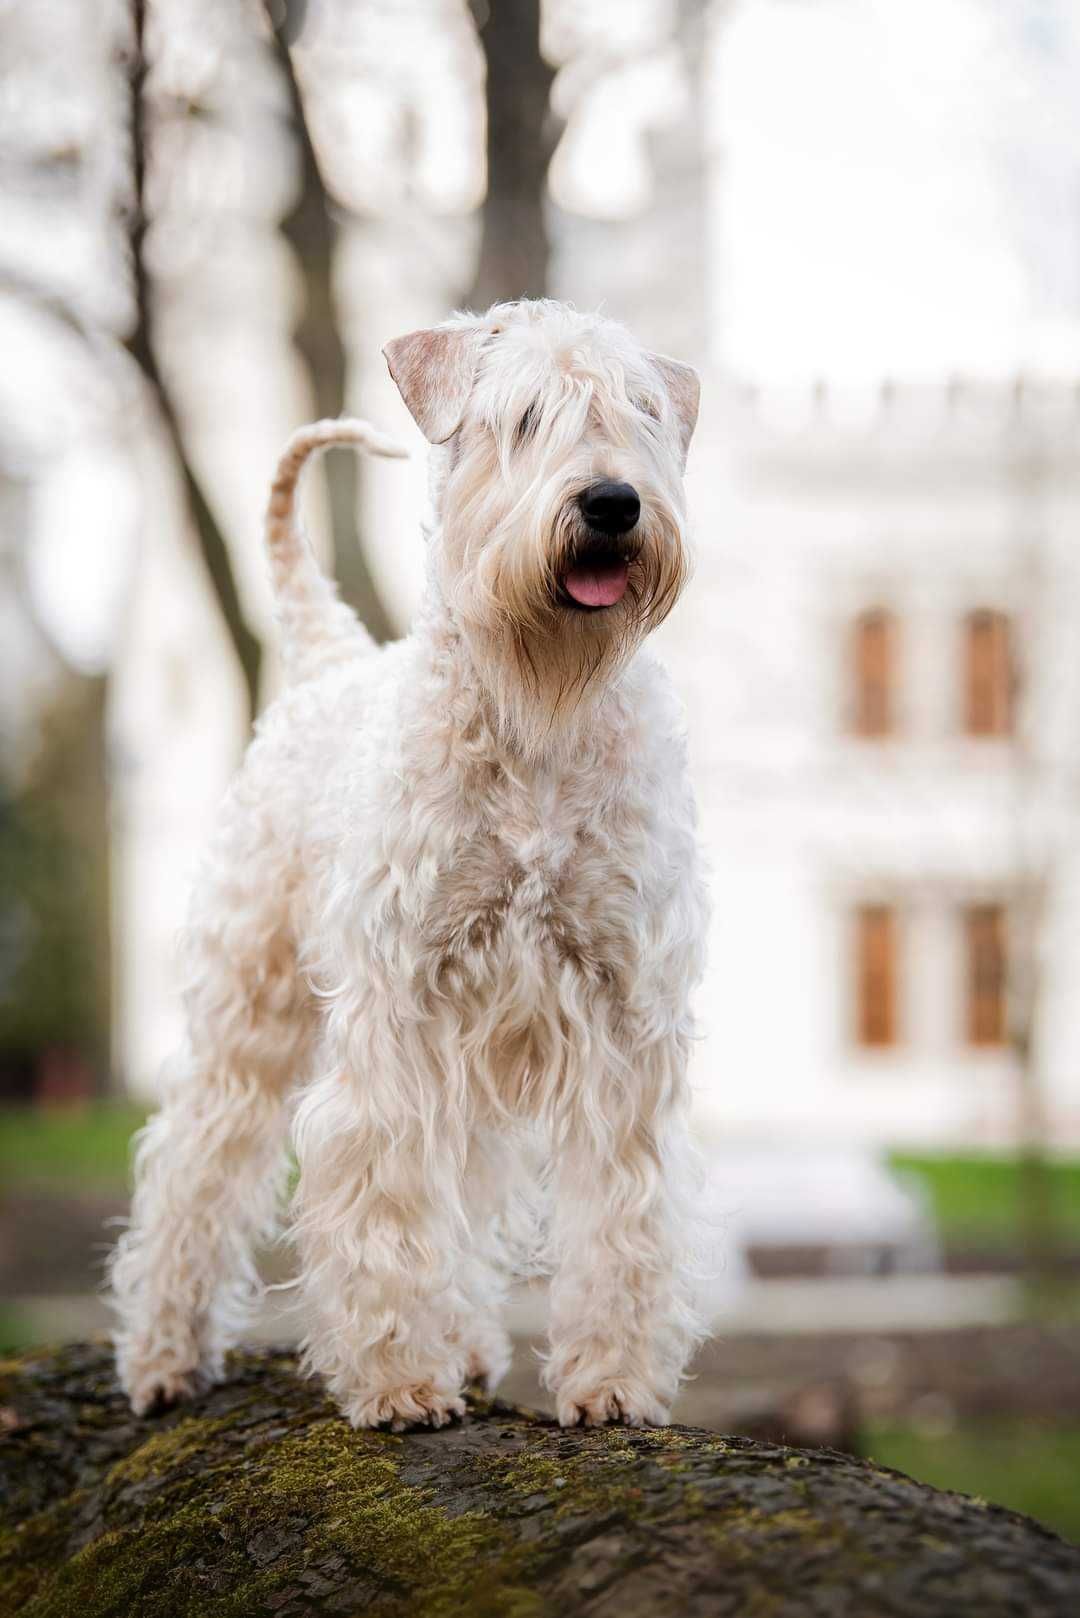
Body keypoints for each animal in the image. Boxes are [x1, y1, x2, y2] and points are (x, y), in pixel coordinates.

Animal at [111, 294, 709, 1430]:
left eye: (642, 412)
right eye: (524, 417)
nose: (612, 503)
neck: (535, 724)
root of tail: (327, 664)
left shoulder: (619, 1012)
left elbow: (622, 1214)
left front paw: (612, 1380)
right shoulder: (398, 1010)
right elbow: (384, 1194)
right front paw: (396, 1382)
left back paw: (468, 1343)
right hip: (249, 1009)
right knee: (194, 1167)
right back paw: (163, 1357)